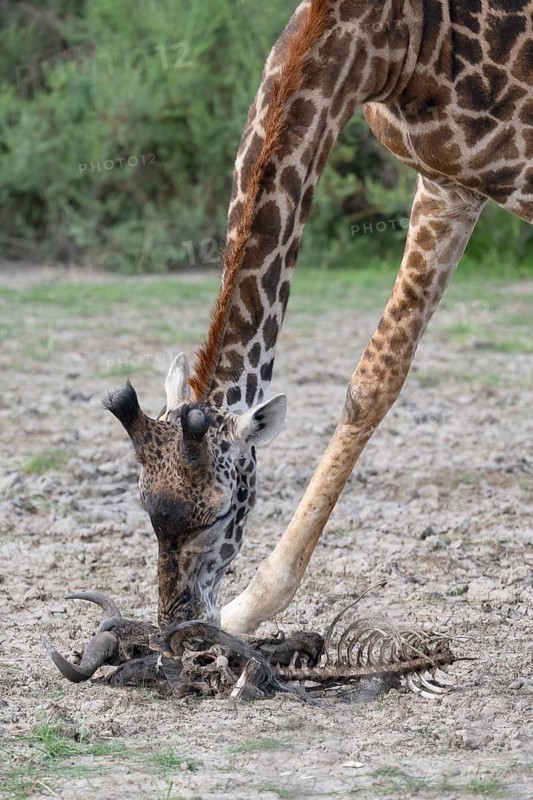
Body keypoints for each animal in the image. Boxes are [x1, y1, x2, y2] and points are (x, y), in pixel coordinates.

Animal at [107, 0, 533, 634]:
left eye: (218, 514)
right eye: (147, 509)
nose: (180, 624)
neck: (399, 40)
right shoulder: (448, 183)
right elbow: (373, 382)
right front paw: (245, 612)